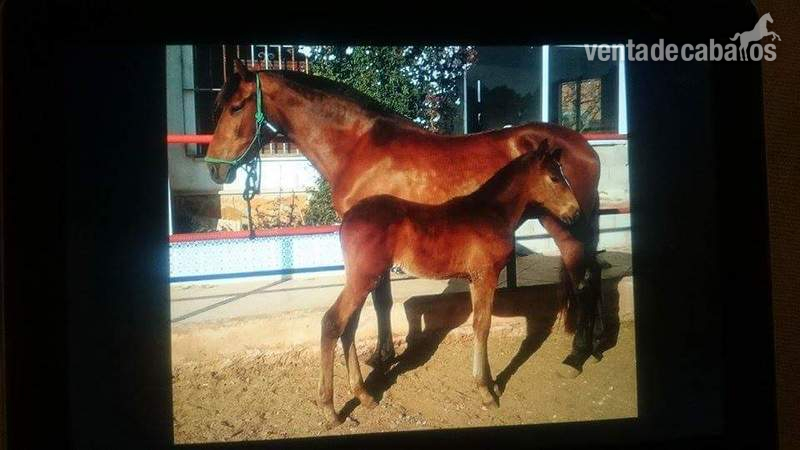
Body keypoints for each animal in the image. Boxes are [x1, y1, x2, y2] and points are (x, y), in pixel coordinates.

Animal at [206, 59, 607, 377]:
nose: (214, 169)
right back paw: (594, 344)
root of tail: (585, 147)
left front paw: (382, 356)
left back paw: (576, 356)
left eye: (236, 107)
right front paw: (383, 353)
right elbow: (381, 300)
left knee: (584, 280)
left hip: (565, 223)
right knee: (591, 274)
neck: (359, 147)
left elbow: (380, 299)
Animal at [318, 142, 580, 427]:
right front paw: (485, 392)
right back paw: (330, 409)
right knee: (333, 322)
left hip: (363, 280)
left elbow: (480, 325)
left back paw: (364, 395)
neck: (491, 213)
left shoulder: (475, 280)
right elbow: (483, 326)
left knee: (348, 327)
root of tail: (346, 220)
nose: (575, 211)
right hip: (365, 278)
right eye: (554, 177)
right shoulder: (486, 276)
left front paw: (491, 384)